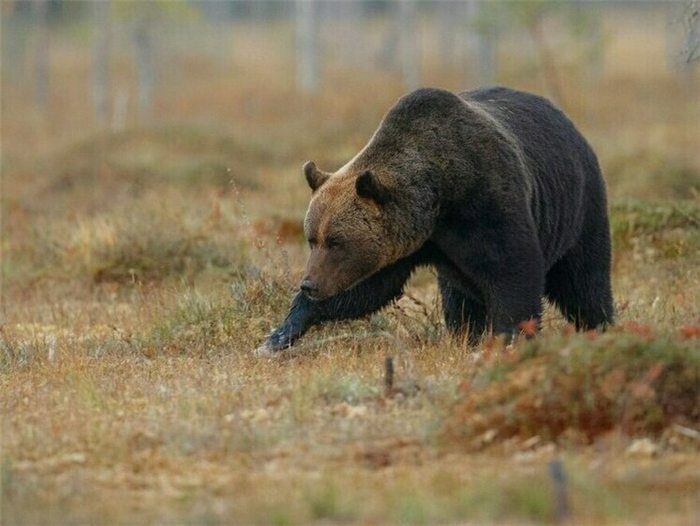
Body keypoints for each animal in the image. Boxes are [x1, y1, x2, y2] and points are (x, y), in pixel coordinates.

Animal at [256, 86, 612, 354]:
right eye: (311, 238)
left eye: (336, 241)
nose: (309, 283)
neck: (438, 200)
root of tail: (567, 120)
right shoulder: (407, 244)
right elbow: (366, 290)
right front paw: (277, 336)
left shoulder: (487, 204)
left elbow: (514, 273)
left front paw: (510, 339)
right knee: (459, 298)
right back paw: (465, 335)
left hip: (579, 207)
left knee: (584, 281)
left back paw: (601, 327)